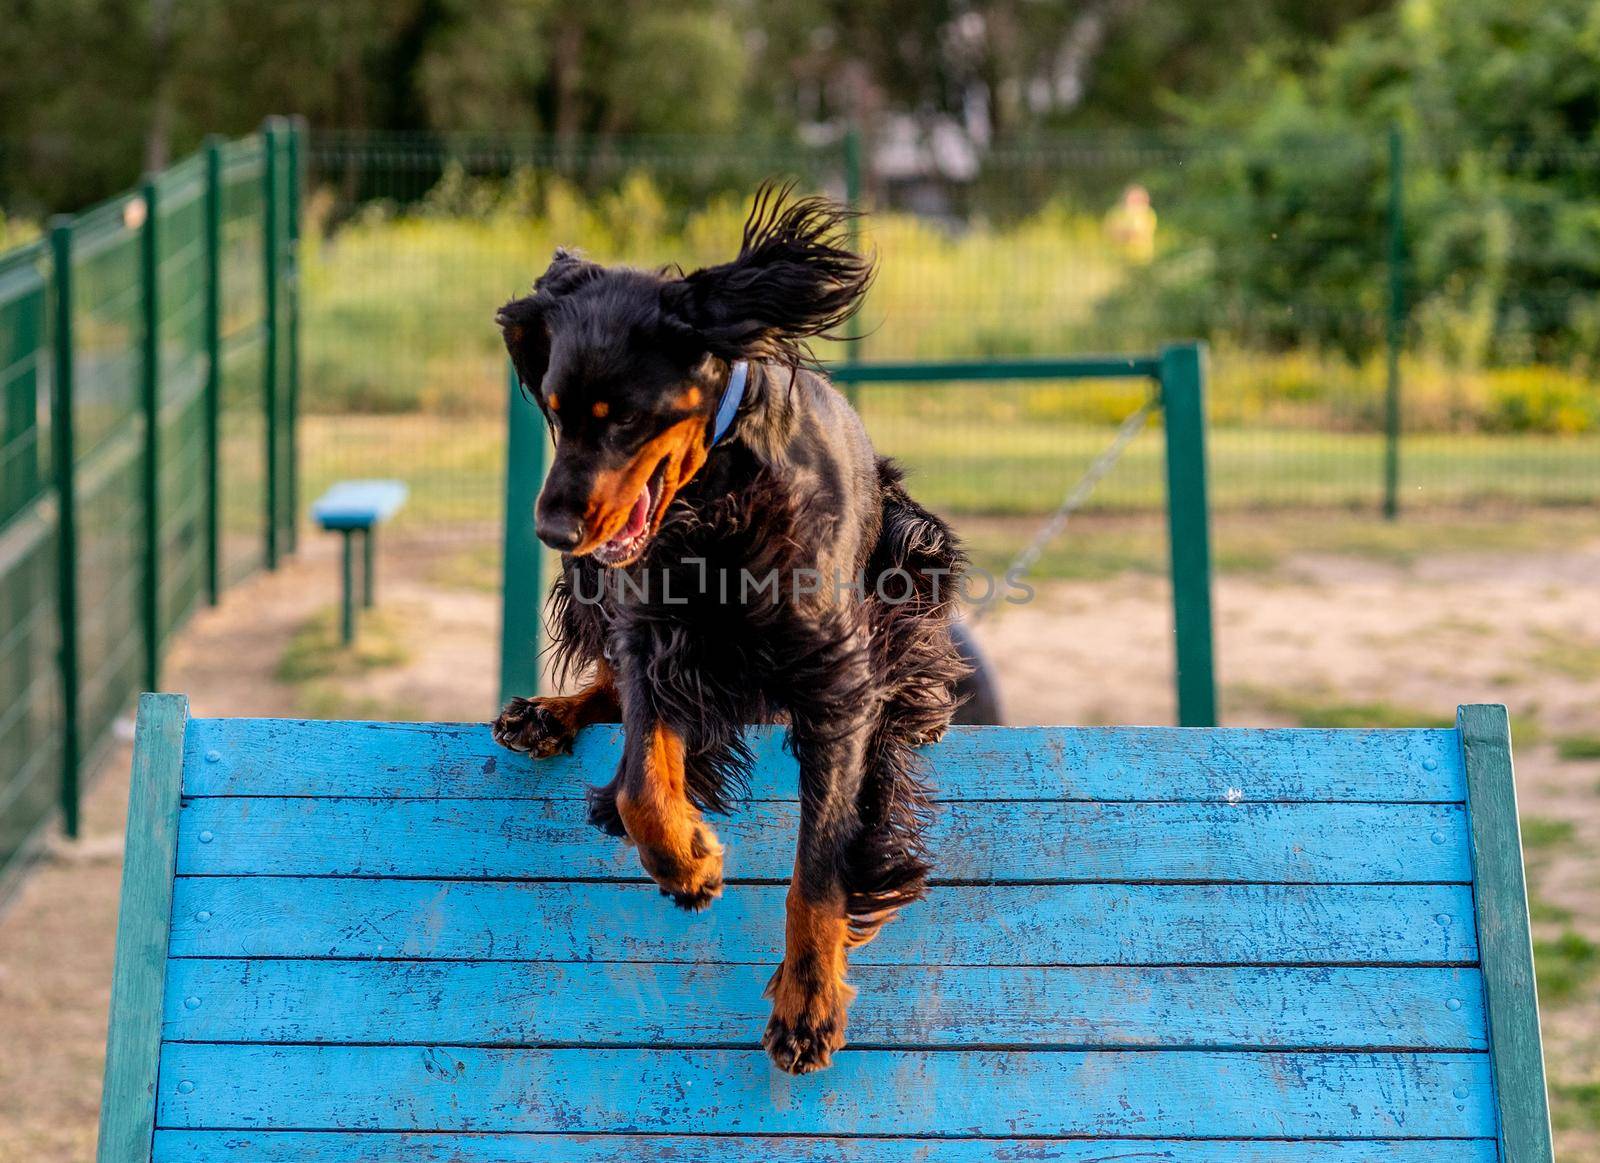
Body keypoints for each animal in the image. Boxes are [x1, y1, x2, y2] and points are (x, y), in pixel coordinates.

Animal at [489, 183, 960, 1081]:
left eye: (623, 418)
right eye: (558, 414)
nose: (552, 531)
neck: (720, 497)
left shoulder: (834, 680)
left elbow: (821, 858)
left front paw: (809, 1000)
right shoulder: (654, 637)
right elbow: (643, 781)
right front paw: (689, 860)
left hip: (914, 551)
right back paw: (544, 715)